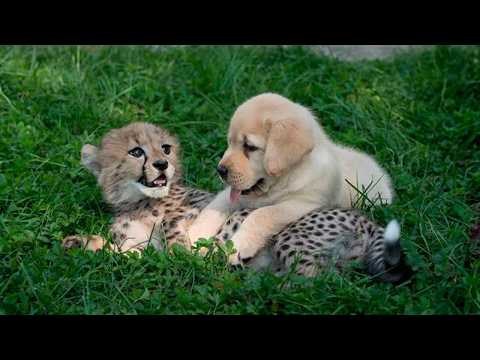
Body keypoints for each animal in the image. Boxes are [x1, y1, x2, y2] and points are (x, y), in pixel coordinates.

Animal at [188, 92, 394, 264]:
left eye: (250, 147)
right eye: (230, 142)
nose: (220, 170)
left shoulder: (303, 204)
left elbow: (262, 214)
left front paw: (239, 245)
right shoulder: (235, 194)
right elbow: (214, 208)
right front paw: (194, 236)